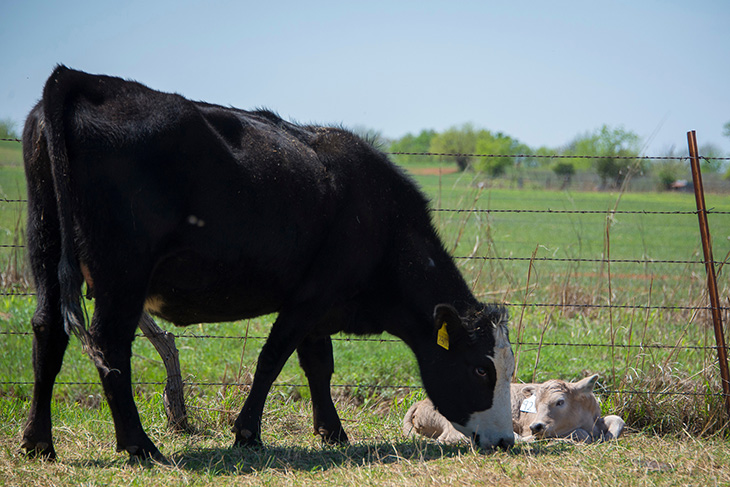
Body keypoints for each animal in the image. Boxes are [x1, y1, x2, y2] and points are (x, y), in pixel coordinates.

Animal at [21, 66, 512, 462]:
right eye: (480, 368)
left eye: (510, 368)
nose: (506, 440)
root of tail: (85, 80)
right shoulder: (311, 295)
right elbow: (272, 358)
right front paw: (247, 433)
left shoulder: (320, 306)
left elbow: (318, 364)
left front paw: (331, 431)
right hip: (122, 272)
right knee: (109, 345)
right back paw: (139, 446)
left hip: (45, 247)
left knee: (48, 331)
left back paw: (39, 443)